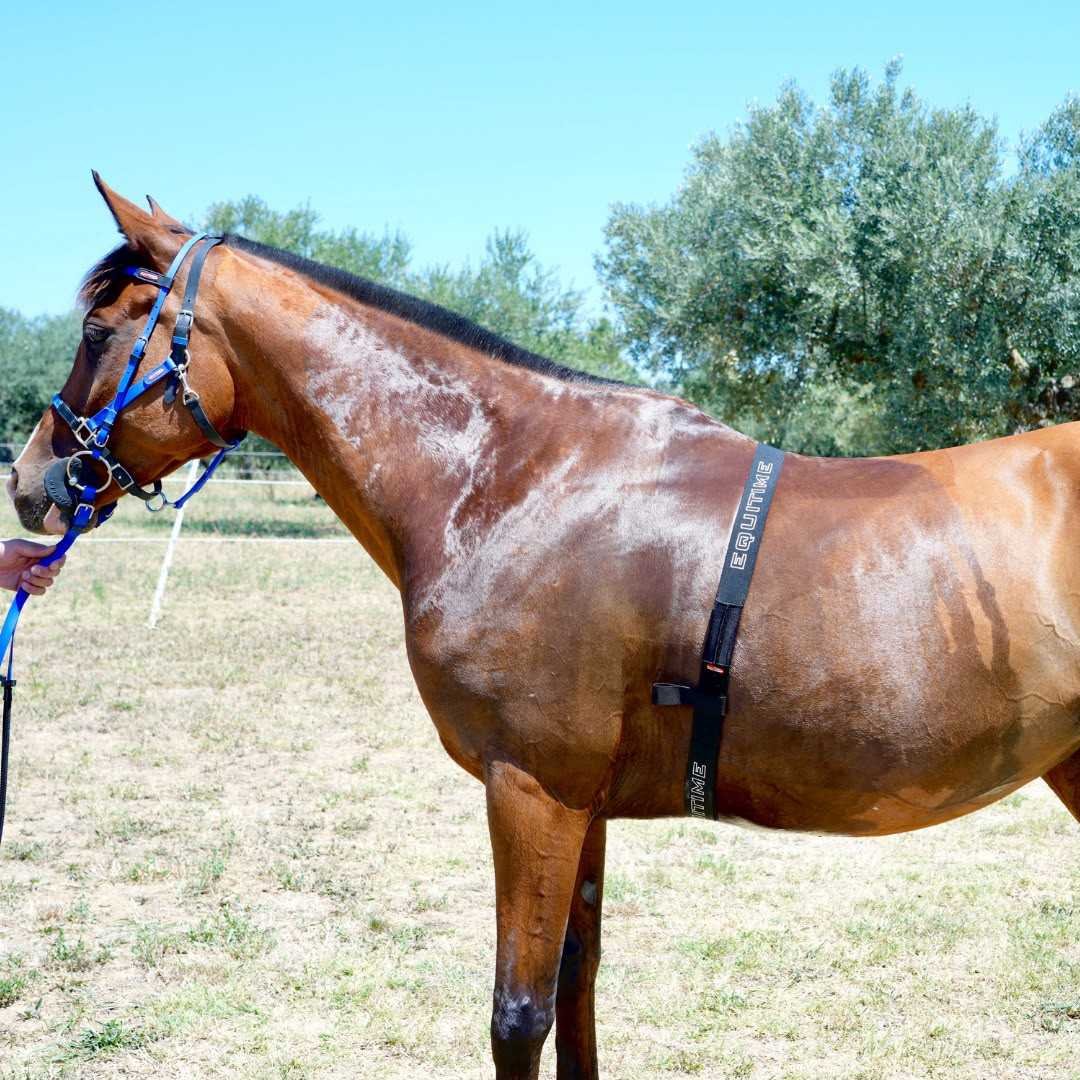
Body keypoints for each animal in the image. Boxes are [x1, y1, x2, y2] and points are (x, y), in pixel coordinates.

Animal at [8, 175, 1080, 1079]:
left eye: (101, 327)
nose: (31, 481)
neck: (515, 479)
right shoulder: (583, 802)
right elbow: (578, 983)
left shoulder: (532, 788)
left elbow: (518, 1015)